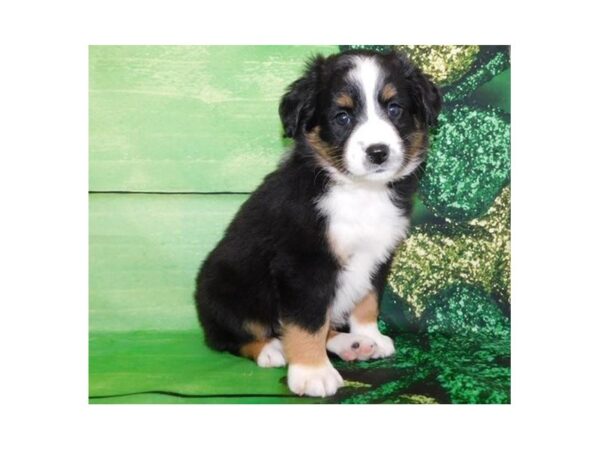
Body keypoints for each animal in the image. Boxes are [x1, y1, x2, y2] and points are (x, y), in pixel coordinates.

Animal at [195, 50, 442, 398]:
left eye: (394, 109)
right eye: (342, 117)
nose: (378, 152)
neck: (358, 192)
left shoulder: (378, 253)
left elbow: (367, 300)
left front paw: (370, 336)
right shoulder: (303, 264)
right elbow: (307, 321)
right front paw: (313, 373)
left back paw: (351, 343)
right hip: (223, 289)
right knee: (226, 337)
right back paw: (271, 349)